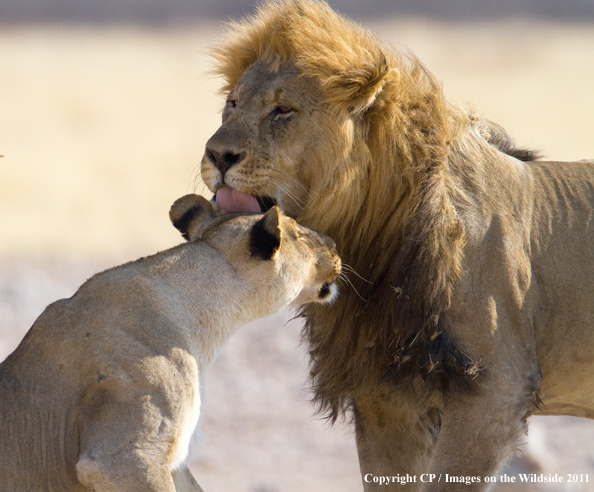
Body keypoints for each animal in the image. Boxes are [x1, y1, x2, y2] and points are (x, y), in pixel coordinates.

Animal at [201, 0, 592, 490]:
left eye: (283, 110)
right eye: (231, 105)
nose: (217, 155)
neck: (370, 243)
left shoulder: (494, 391)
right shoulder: (385, 398)